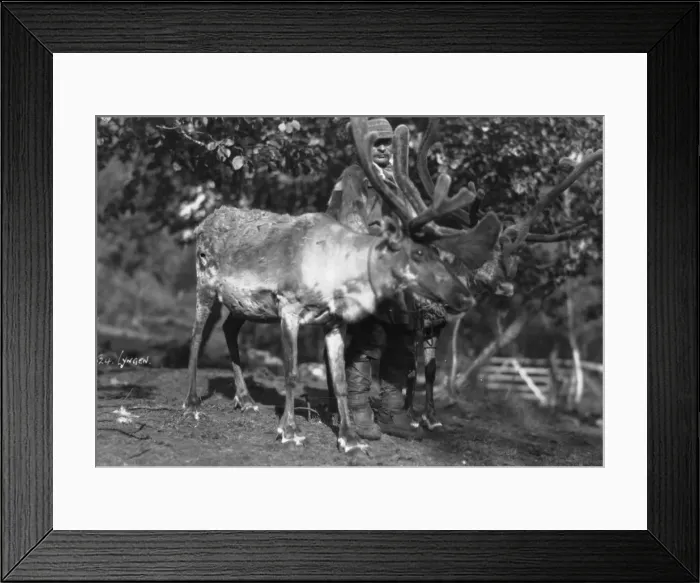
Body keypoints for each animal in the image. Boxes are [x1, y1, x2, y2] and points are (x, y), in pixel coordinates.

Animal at [183, 116, 505, 454]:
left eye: (439, 254)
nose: (464, 297)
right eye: (417, 253)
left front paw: (350, 438)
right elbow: (291, 372)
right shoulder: (288, 305)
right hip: (205, 284)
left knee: (228, 328)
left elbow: (339, 379)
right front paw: (289, 430)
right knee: (196, 336)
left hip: (243, 305)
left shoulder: (334, 321)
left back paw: (245, 400)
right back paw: (192, 404)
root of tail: (204, 222)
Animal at [396, 118, 603, 431]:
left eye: (508, 260)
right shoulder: (414, 318)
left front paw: (430, 417)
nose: (506, 287)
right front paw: (408, 413)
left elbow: (430, 369)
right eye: (479, 253)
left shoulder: (436, 326)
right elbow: (409, 365)